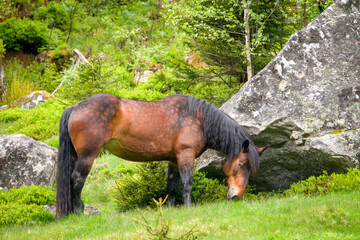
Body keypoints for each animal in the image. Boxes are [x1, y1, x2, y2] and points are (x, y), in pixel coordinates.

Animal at [54, 94, 266, 218]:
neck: (198, 119)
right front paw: (188, 208)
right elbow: (187, 184)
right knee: (76, 180)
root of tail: (75, 107)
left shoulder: (173, 160)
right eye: (241, 164)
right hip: (88, 156)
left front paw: (172, 209)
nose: (237, 196)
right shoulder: (186, 156)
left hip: (76, 156)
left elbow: (171, 186)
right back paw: (78, 212)